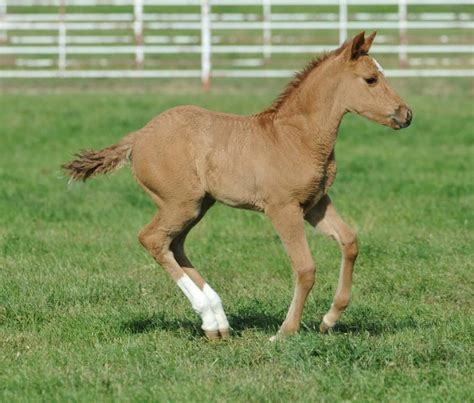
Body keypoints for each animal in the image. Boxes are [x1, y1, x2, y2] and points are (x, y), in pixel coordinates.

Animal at [63, 32, 412, 340]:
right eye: (371, 79)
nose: (406, 115)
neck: (296, 137)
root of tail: (137, 137)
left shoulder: (315, 203)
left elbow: (349, 242)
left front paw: (330, 319)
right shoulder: (283, 208)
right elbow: (305, 268)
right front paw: (285, 332)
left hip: (198, 205)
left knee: (175, 244)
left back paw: (217, 323)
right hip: (180, 203)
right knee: (153, 239)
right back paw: (208, 315)